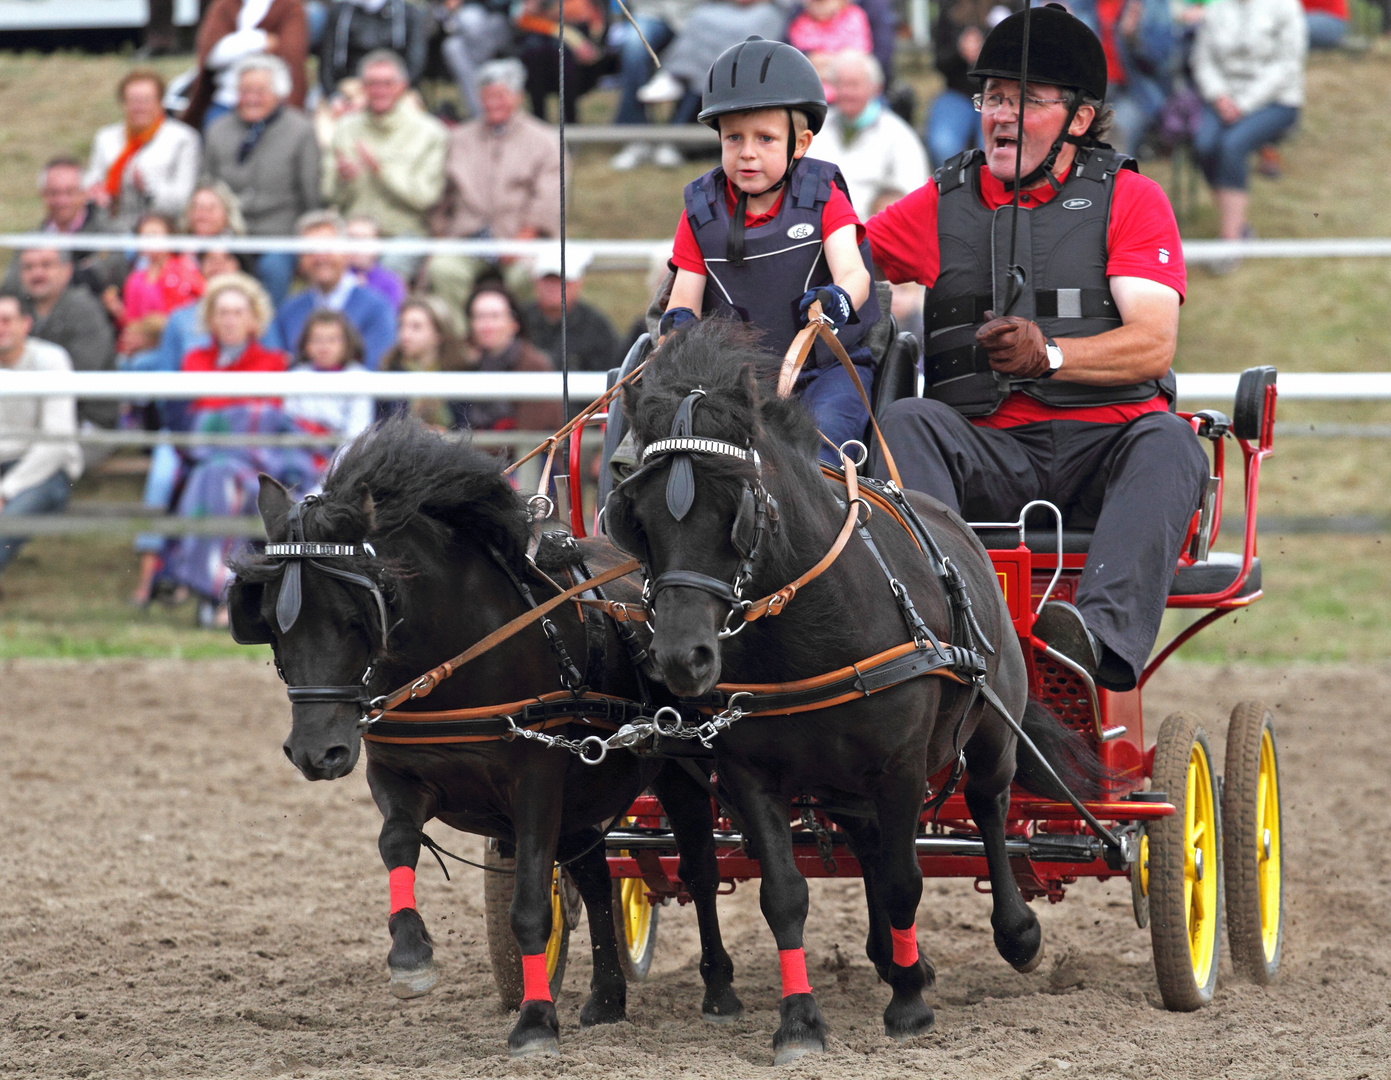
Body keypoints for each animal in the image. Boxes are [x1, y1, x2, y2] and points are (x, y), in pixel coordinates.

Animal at [232, 414, 745, 1052]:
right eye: (271, 621)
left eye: (356, 617)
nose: (314, 752)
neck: (458, 654)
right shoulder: (397, 773)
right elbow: (396, 843)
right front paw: (411, 956)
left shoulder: (537, 783)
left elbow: (529, 908)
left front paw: (535, 1020)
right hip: (584, 795)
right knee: (596, 879)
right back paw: (606, 998)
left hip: (677, 768)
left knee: (699, 868)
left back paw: (719, 991)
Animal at [603, 320, 1101, 1063]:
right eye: (635, 513)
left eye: (734, 506)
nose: (680, 658)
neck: (812, 626)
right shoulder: (749, 772)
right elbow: (785, 894)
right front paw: (801, 1021)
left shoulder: (900, 767)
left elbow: (904, 880)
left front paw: (910, 1007)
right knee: (866, 842)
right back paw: (894, 957)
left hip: (989, 728)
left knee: (988, 806)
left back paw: (1011, 935)